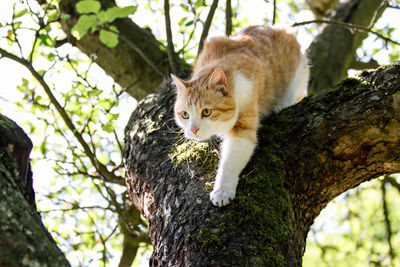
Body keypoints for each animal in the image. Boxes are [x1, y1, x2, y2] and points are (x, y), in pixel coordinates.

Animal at [170, 25, 308, 207]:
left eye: (206, 112)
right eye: (184, 114)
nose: (193, 130)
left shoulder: (243, 128)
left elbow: (229, 162)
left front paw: (222, 191)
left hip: (299, 72)